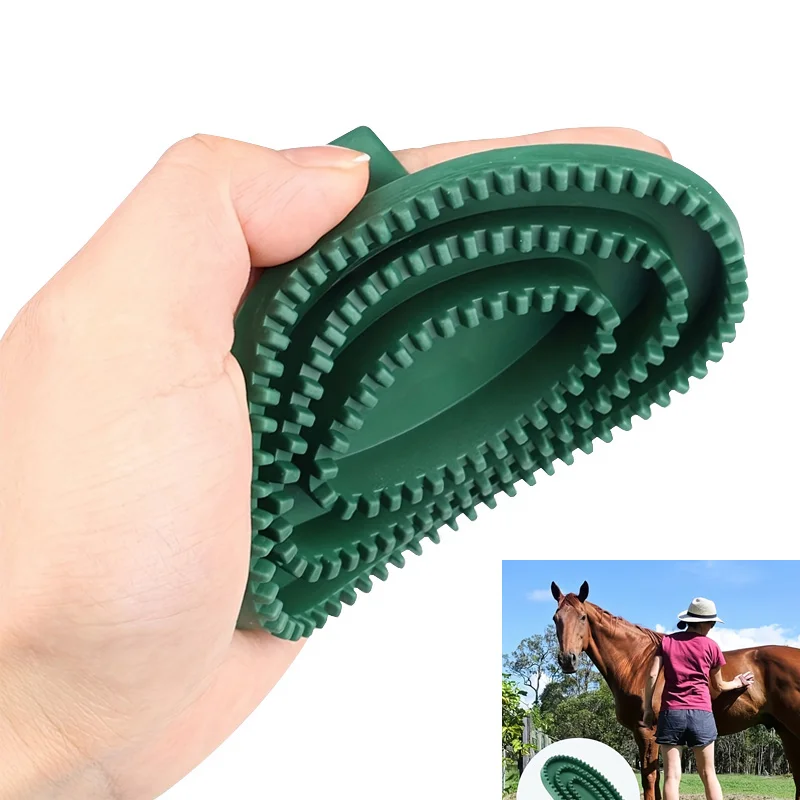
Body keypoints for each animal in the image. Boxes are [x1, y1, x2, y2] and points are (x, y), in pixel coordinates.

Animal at [550, 581, 800, 800]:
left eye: (582, 617)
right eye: (556, 618)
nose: (567, 660)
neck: (637, 662)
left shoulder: (647, 732)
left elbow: (649, 780)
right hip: (787, 732)